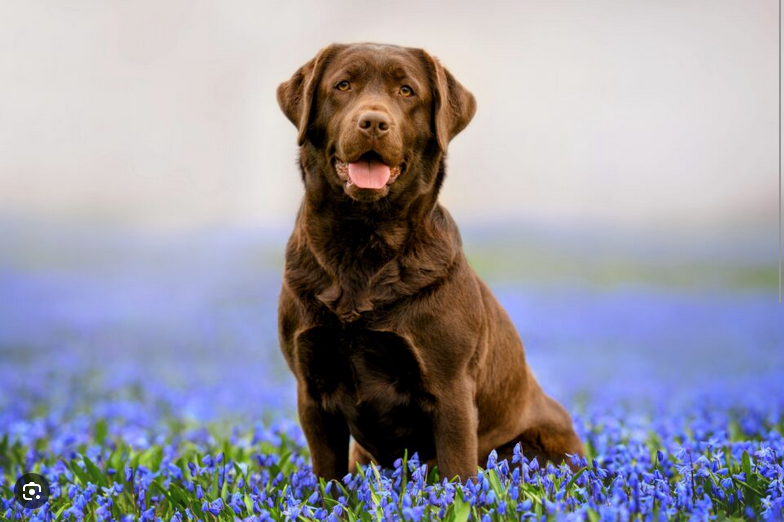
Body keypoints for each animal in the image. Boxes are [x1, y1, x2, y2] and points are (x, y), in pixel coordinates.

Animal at [276, 41, 580, 480]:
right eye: (343, 85)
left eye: (406, 91)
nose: (373, 122)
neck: (362, 243)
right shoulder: (312, 389)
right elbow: (327, 477)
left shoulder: (449, 387)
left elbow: (458, 473)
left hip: (531, 446)